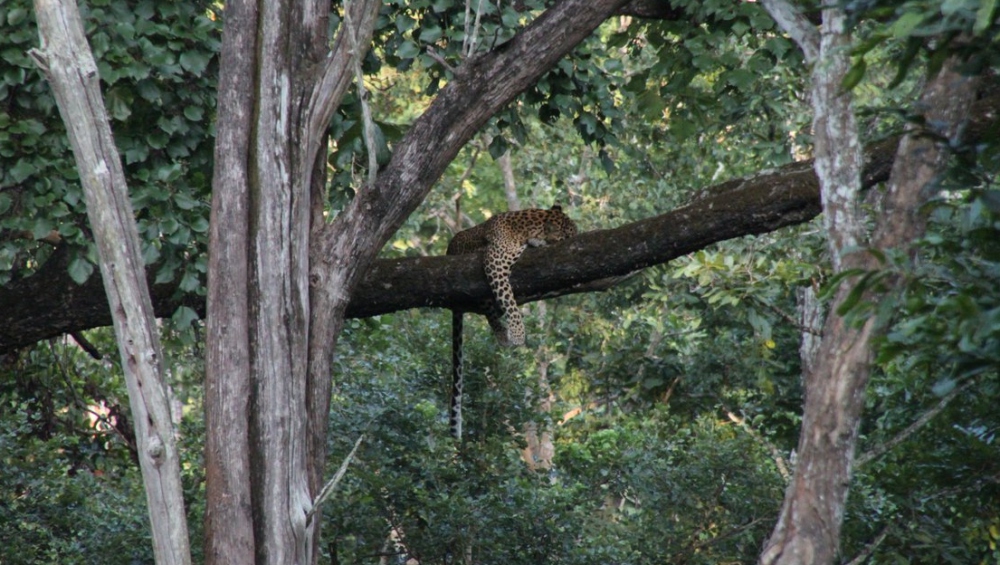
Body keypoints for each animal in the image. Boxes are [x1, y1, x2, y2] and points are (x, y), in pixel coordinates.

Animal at [445, 205, 578, 439]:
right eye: (570, 236)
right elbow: (509, 299)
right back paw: (504, 336)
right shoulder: (496, 261)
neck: (527, 227)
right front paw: (518, 334)